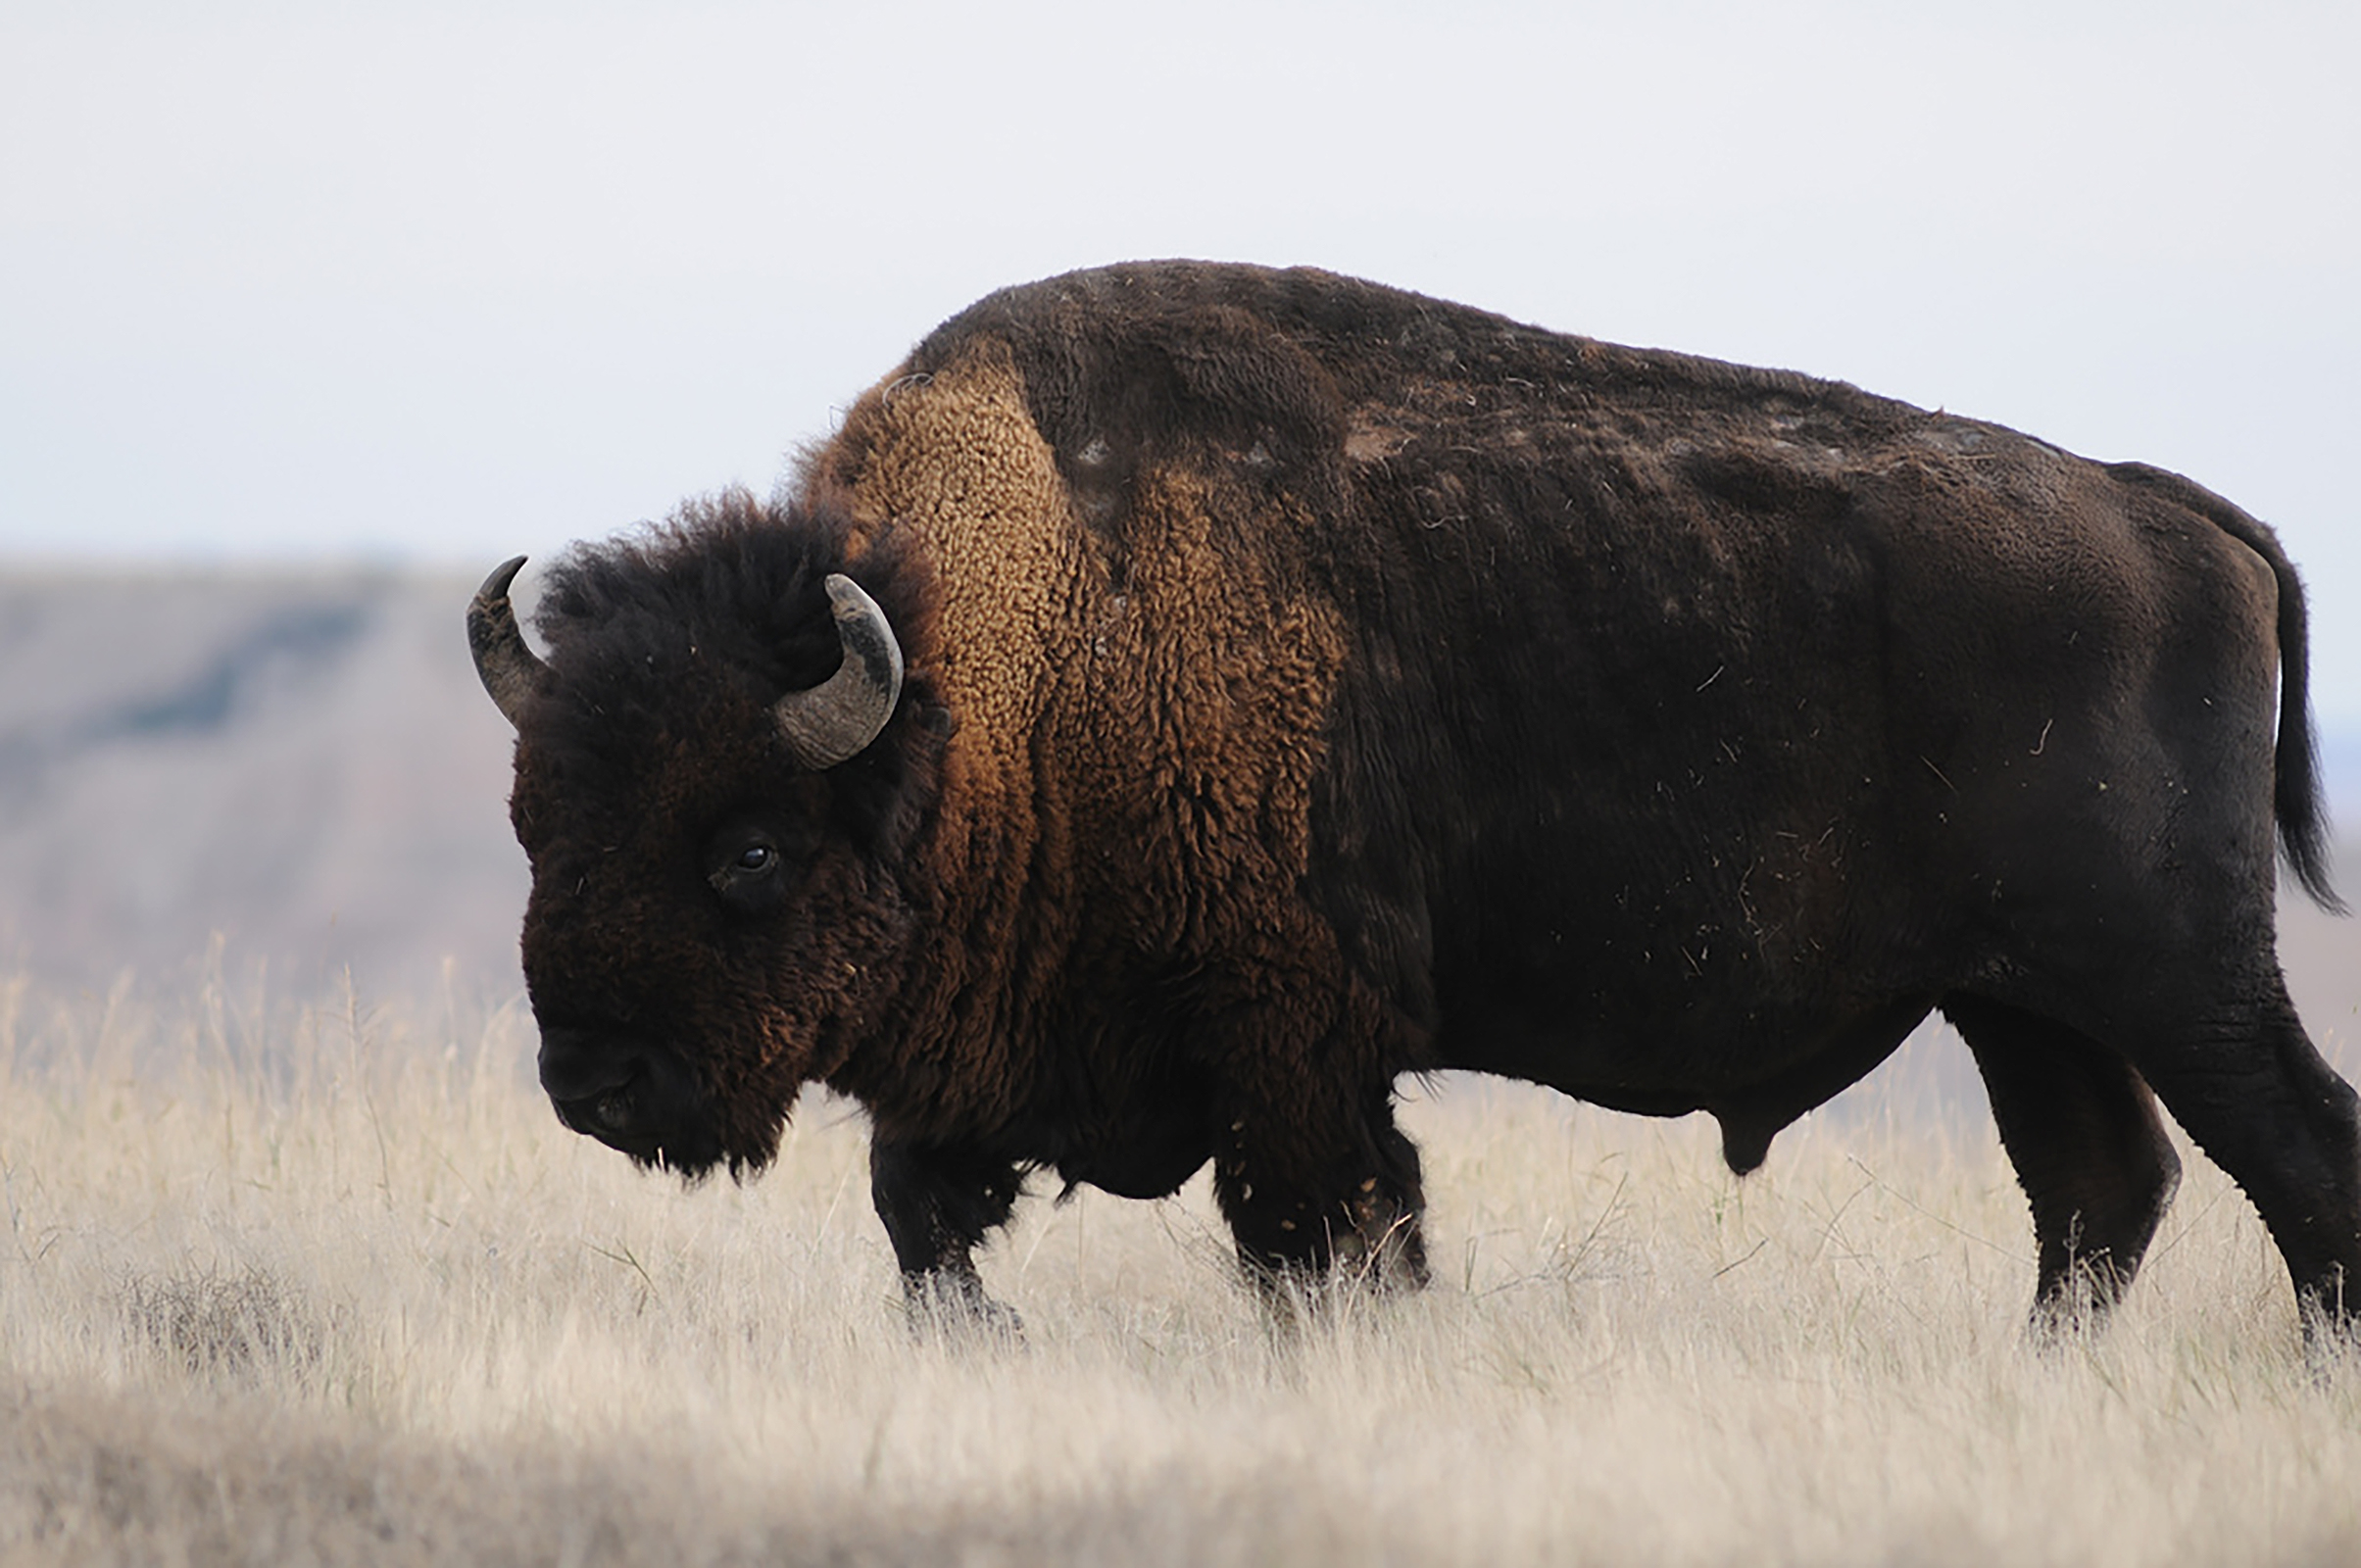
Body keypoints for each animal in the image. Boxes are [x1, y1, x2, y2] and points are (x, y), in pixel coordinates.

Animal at [471, 261, 2355, 1332]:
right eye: (537, 826)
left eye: (748, 847)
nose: (591, 1080)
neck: (1003, 648)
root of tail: (2166, 509)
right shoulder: (983, 1071)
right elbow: (923, 1224)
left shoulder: (1294, 1041)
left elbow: (1324, 1236)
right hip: (2018, 1001)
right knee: (2097, 1193)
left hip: (2170, 977)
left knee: (2291, 1156)